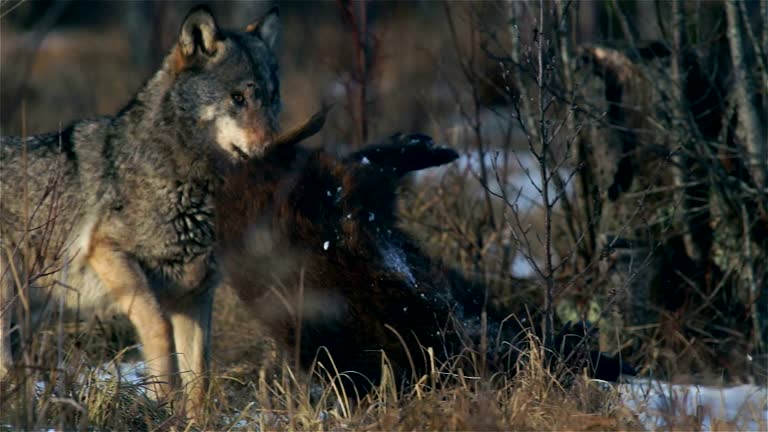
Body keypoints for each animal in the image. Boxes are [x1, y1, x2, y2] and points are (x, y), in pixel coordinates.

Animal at [0, 5, 280, 417]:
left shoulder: (196, 295)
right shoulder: (110, 256)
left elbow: (201, 372)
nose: (276, 152)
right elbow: (159, 330)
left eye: (273, 99)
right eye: (238, 98)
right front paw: (162, 402)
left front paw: (193, 419)